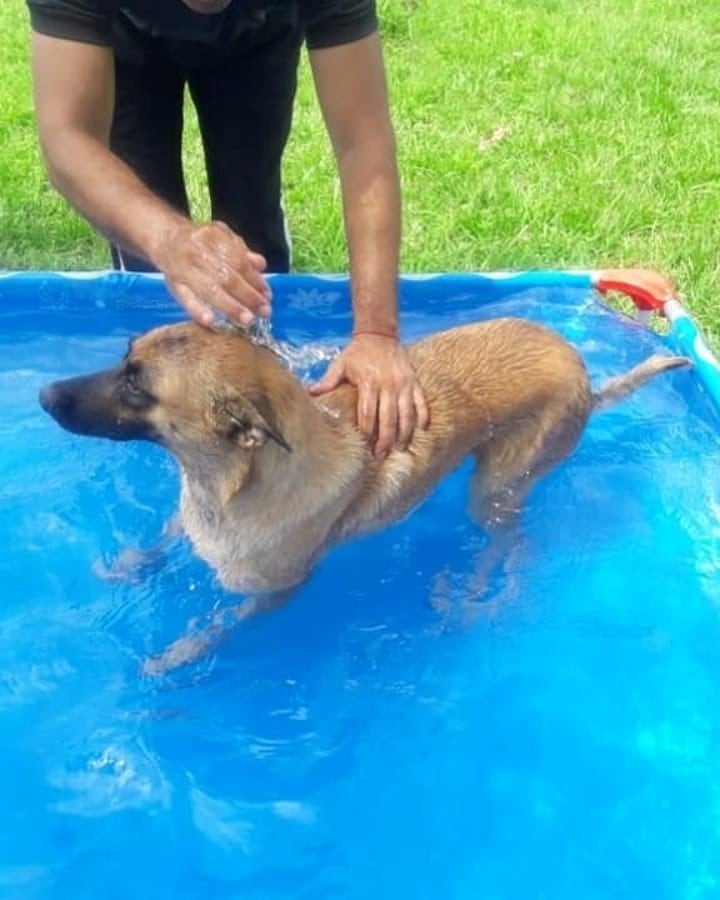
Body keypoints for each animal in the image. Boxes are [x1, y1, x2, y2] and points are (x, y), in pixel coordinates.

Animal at [39, 320, 692, 672]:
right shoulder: (191, 519)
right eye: (124, 359)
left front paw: (177, 657)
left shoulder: (276, 593)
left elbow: (221, 626)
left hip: (495, 489)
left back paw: (475, 591)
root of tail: (584, 373)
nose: (43, 394)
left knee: (509, 541)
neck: (226, 483)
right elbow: (166, 537)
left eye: (136, 386)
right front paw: (131, 565)